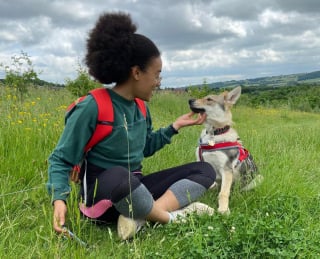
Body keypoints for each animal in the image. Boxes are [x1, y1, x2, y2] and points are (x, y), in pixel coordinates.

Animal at [189, 86, 264, 214]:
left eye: (209, 99)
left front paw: (223, 210)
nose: (189, 100)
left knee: (239, 190)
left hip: (257, 178)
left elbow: (223, 193)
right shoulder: (201, 162)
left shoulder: (226, 169)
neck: (214, 133)